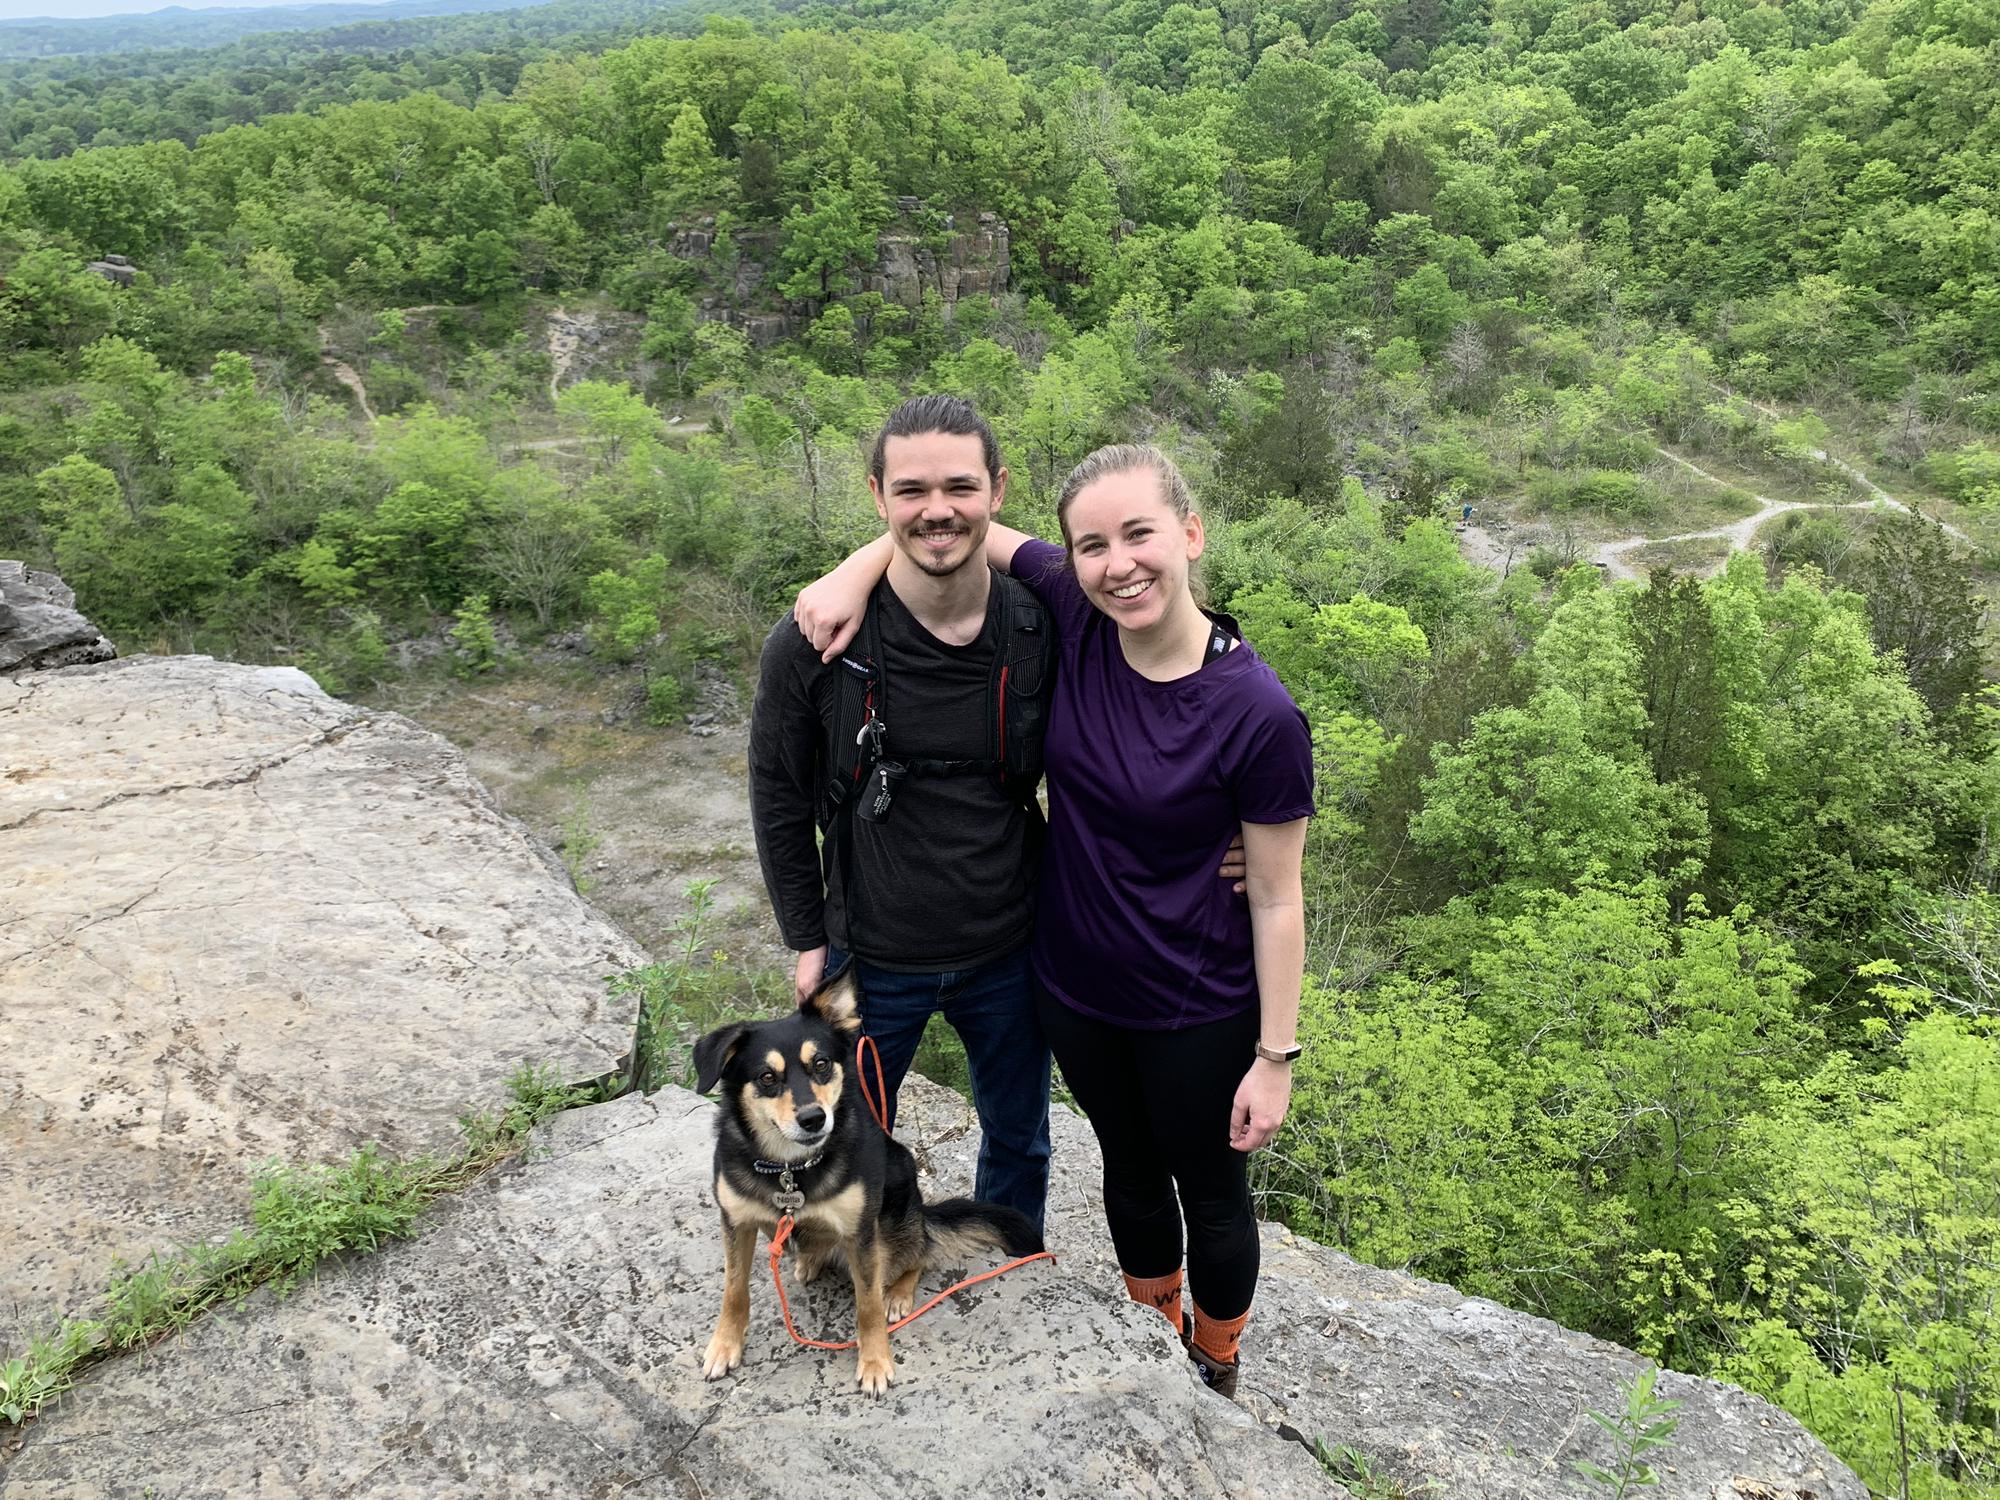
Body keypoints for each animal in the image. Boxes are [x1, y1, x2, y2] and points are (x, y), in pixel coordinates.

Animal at [692, 968, 1040, 1408]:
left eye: (821, 1064)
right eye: (767, 1077)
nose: (813, 1119)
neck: (791, 1168)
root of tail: (921, 1211)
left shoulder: (861, 1232)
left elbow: (867, 1305)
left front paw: (875, 1362)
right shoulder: (736, 1223)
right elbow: (734, 1290)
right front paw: (724, 1346)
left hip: (893, 1220)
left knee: (920, 1253)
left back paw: (899, 1292)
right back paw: (810, 1260)